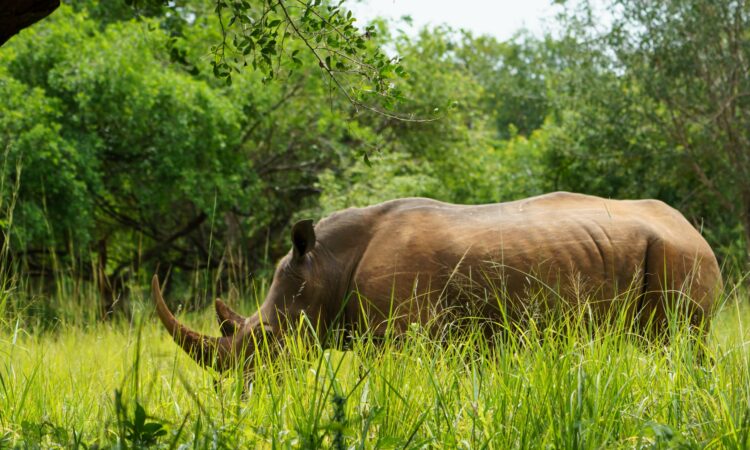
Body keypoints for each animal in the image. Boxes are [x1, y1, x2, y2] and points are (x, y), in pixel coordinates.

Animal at [153, 192, 722, 372]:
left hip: (680, 254)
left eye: (267, 340)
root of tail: (694, 228)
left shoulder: (409, 334)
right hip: (670, 249)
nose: (241, 391)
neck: (322, 267)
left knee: (677, 341)